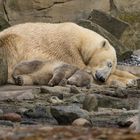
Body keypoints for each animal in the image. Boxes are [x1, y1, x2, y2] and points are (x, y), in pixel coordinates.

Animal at [0, 21, 137, 86]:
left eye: (111, 66)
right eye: (109, 63)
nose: (102, 78)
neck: (81, 39)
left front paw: (133, 77)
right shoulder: (68, 49)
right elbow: (82, 67)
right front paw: (129, 81)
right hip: (11, 41)